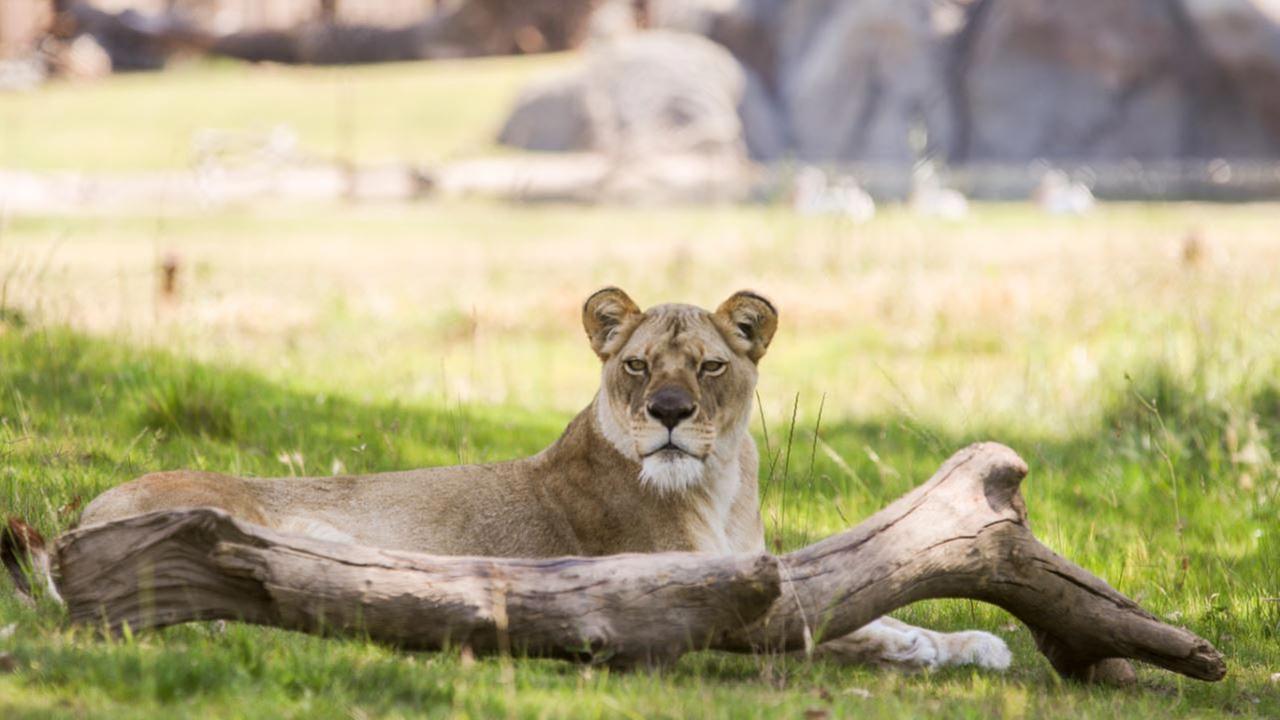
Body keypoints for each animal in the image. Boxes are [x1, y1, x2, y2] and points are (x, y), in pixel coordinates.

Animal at [9, 288, 1010, 670]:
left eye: (709, 367)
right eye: (638, 365)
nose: (670, 412)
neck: (719, 485)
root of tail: (79, 521)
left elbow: (875, 607)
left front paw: (971, 643)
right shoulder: (699, 595)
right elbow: (840, 630)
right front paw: (937, 648)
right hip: (298, 532)